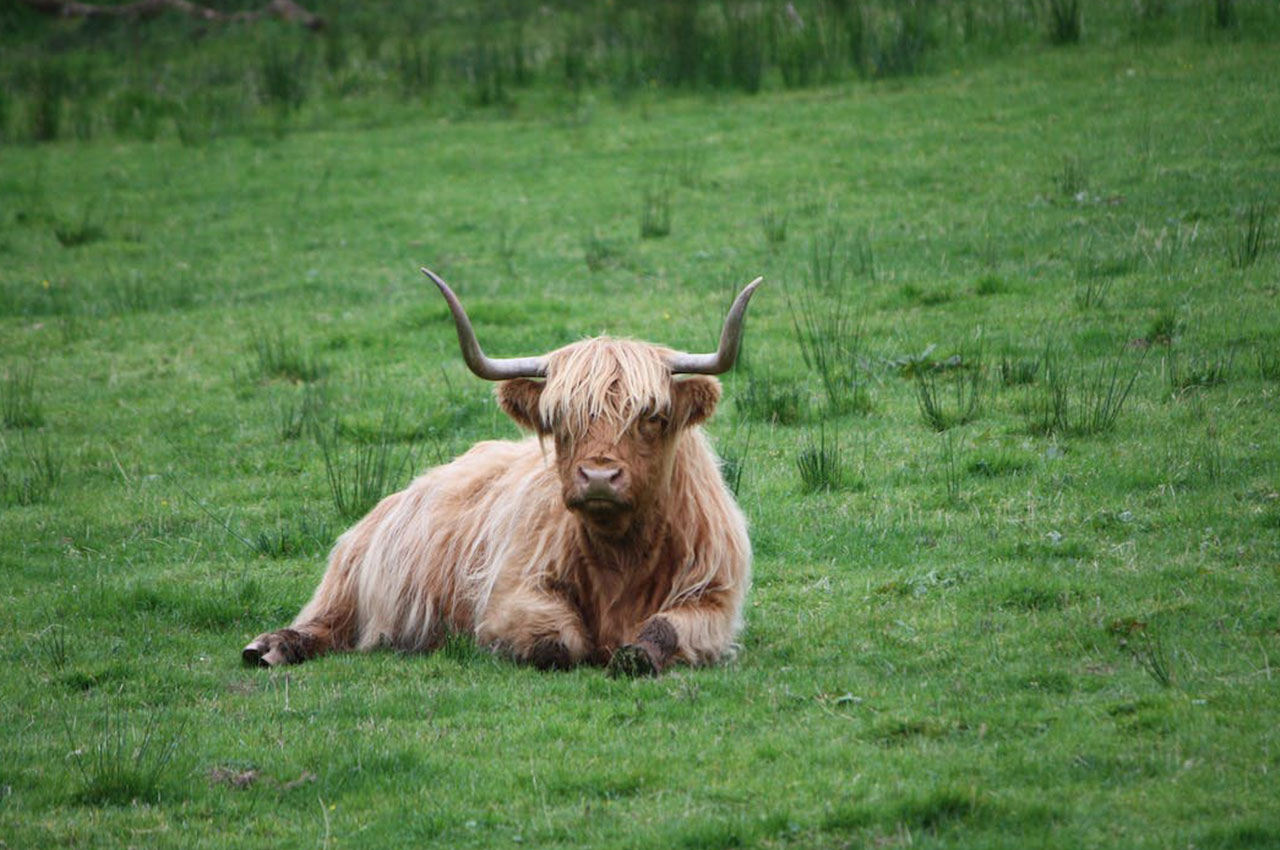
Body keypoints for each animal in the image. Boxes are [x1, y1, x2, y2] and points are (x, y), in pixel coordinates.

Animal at [240, 268, 757, 675]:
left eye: (652, 416)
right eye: (559, 418)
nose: (598, 478)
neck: (621, 554)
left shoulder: (713, 597)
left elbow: (664, 630)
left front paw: (634, 655)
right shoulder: (510, 592)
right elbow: (559, 643)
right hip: (351, 580)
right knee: (323, 621)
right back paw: (270, 646)